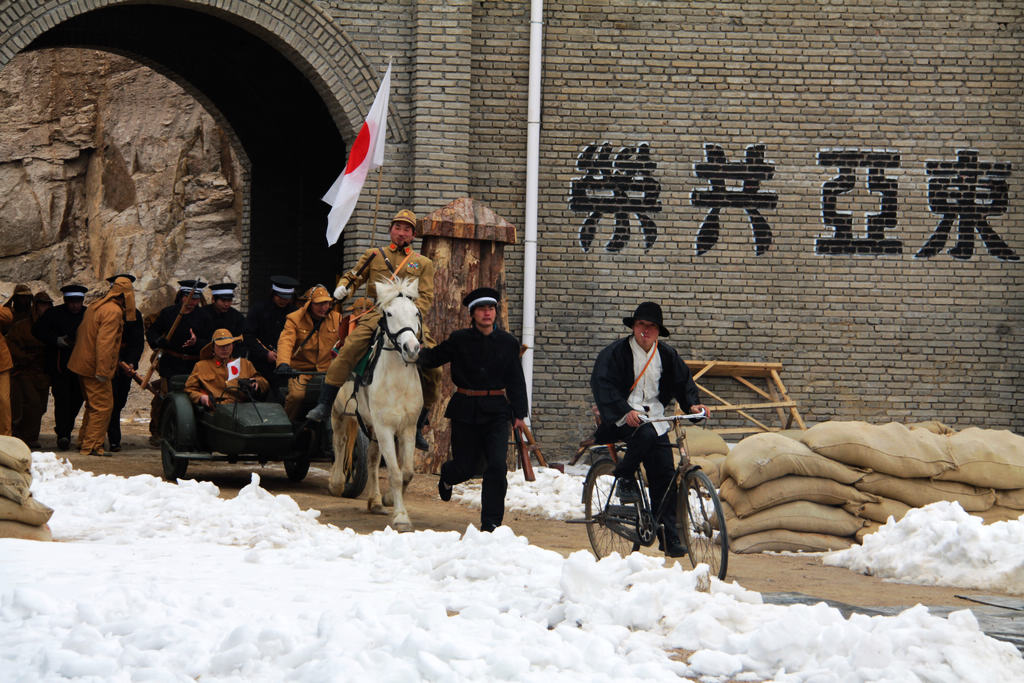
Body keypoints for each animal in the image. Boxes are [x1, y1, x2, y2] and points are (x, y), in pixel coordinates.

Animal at [329, 274, 421, 532]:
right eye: (388, 313)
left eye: (416, 312)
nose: (412, 349)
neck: (397, 379)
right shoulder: (385, 428)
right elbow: (395, 473)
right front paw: (401, 517)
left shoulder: (407, 428)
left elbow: (406, 472)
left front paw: (389, 499)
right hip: (339, 412)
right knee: (340, 441)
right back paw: (337, 482)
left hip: (370, 426)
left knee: (370, 458)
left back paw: (376, 501)